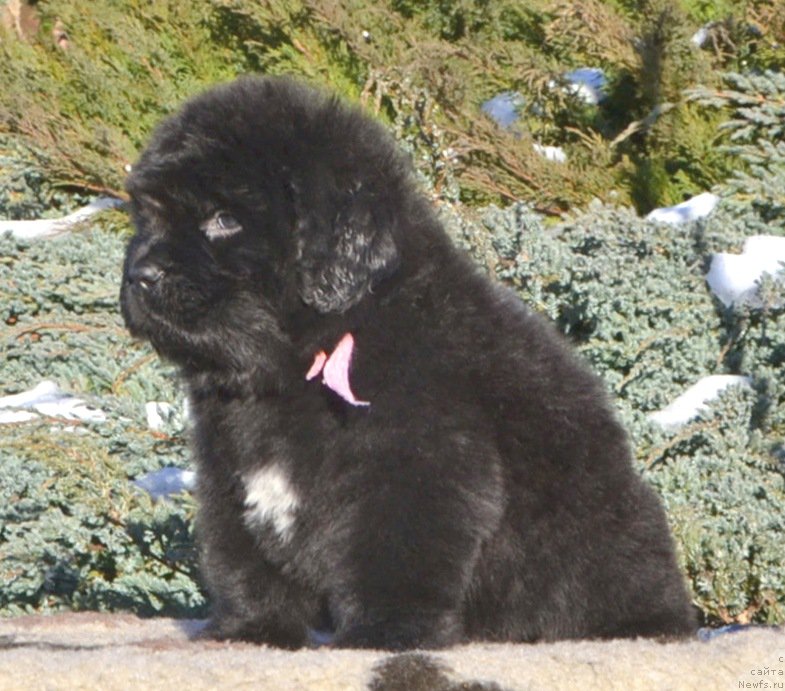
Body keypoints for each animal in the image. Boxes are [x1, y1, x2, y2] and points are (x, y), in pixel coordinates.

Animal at [119, 75, 696, 648]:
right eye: (146, 217)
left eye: (224, 220)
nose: (139, 276)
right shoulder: (229, 476)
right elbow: (243, 562)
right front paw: (249, 632)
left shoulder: (415, 470)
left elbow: (391, 560)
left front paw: (382, 636)